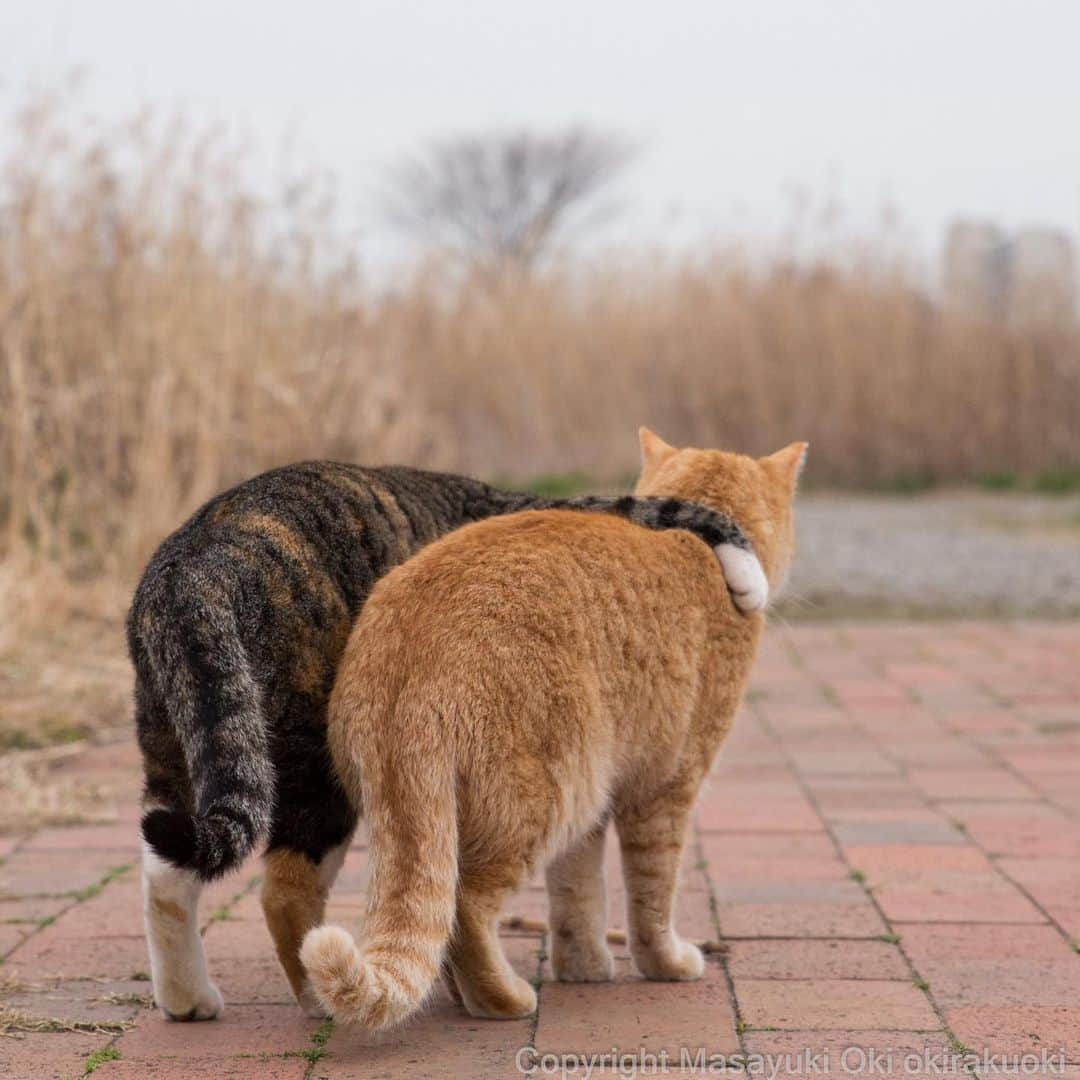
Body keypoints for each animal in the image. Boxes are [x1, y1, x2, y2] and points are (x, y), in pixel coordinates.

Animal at [128, 457, 768, 1019]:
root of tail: (194, 567)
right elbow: (675, 509)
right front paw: (748, 577)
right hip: (313, 771)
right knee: (288, 892)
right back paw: (323, 1000)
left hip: (186, 746)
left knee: (166, 873)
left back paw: (188, 1000)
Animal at [298, 432, 803, 1028]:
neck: (697, 541)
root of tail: (411, 653)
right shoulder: (665, 789)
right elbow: (653, 894)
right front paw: (666, 963)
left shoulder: (595, 812)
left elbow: (576, 894)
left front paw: (583, 967)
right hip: (545, 798)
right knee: (465, 908)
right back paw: (501, 999)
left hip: (517, 801)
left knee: (437, 915)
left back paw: (463, 995)